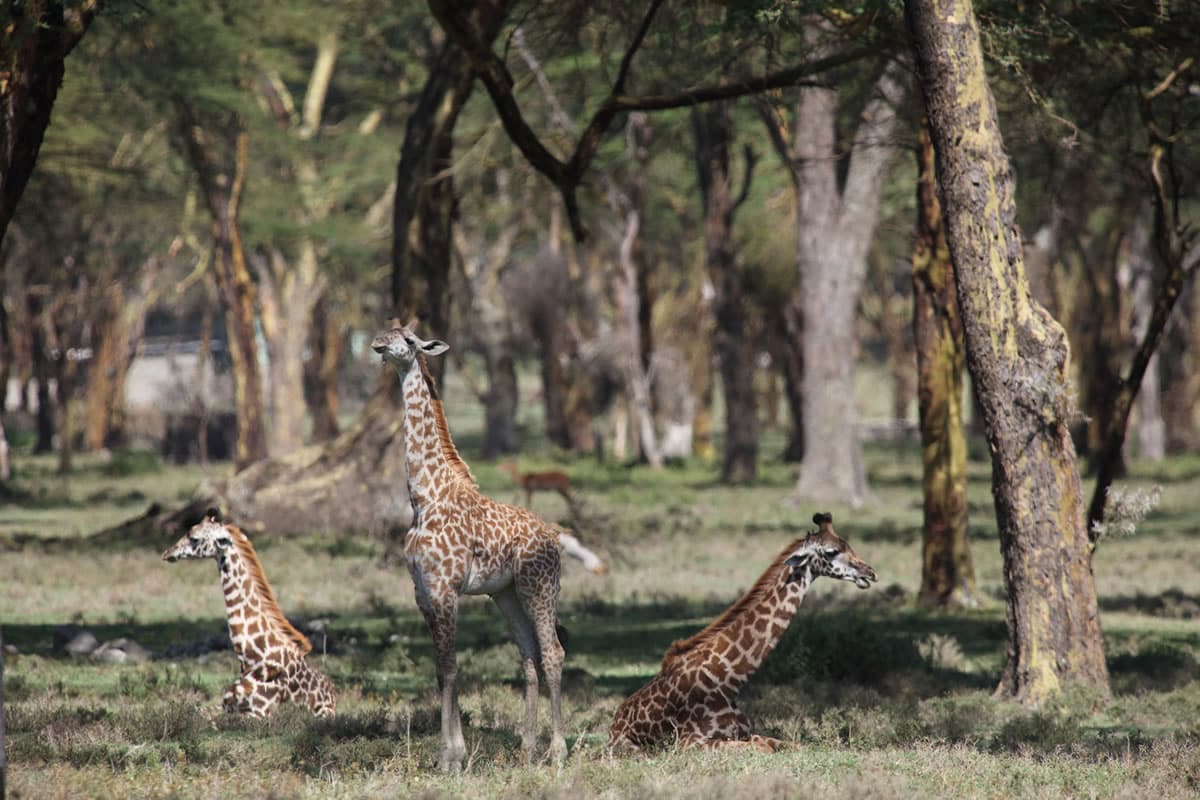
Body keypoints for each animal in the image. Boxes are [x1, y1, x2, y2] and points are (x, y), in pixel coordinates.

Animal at [374, 326, 580, 767]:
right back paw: (525, 750)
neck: (424, 498)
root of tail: (554, 536)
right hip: (506, 594)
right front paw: (451, 754)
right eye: (387, 332)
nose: (380, 343)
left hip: (539, 587)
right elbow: (440, 668)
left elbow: (451, 667)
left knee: (553, 652)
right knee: (529, 655)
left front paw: (451, 757)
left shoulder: (446, 588)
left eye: (410, 340)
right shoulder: (423, 591)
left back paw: (557, 751)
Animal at [609, 515, 873, 753]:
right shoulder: (689, 743)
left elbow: (794, 745)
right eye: (831, 551)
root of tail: (614, 723)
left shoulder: (746, 732)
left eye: (848, 544)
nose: (869, 572)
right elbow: (763, 748)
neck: (729, 680)